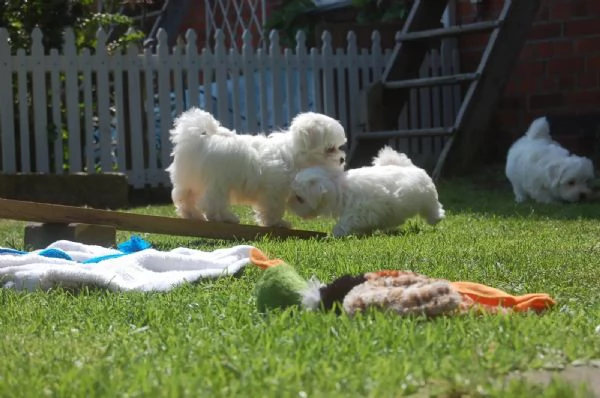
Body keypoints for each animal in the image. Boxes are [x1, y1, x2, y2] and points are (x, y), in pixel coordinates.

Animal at [166, 108, 350, 227]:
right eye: (330, 149)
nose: (342, 159)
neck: (295, 153)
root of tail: (197, 138)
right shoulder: (275, 190)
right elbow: (274, 207)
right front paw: (276, 223)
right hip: (218, 182)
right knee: (212, 202)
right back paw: (226, 217)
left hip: (189, 179)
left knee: (184, 197)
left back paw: (192, 214)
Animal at [286, 145, 446, 236]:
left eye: (299, 198)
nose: (291, 208)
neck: (337, 187)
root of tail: (410, 167)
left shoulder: (361, 210)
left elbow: (346, 220)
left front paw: (336, 233)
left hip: (427, 198)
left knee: (433, 208)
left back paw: (436, 218)